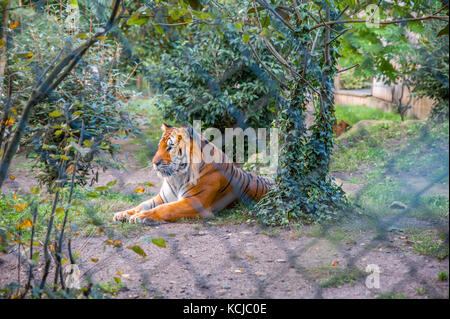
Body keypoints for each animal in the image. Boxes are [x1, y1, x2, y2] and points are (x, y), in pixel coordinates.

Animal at [113, 122, 274, 225]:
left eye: (170, 147)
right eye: (159, 146)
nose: (154, 162)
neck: (176, 177)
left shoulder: (194, 202)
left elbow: (166, 209)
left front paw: (142, 217)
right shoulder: (162, 198)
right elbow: (142, 204)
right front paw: (123, 214)